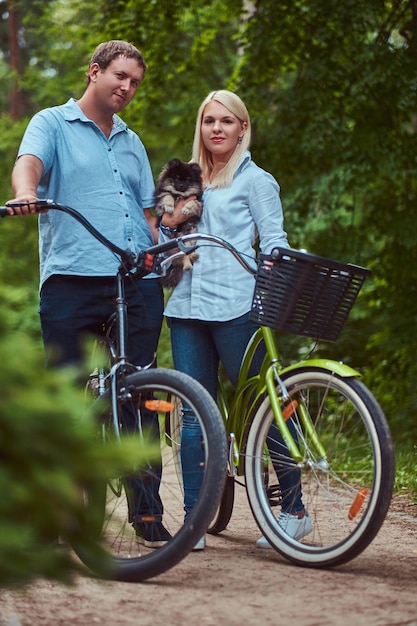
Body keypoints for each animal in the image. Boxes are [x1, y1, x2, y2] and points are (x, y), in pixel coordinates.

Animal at [154, 157, 203, 286]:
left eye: (187, 180)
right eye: (176, 177)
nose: (181, 185)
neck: (179, 194)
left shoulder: (198, 201)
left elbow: (191, 202)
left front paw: (186, 209)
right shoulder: (162, 196)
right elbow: (168, 197)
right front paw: (170, 207)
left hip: (191, 237)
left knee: (188, 254)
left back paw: (193, 256)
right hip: (178, 242)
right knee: (182, 257)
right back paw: (187, 265)